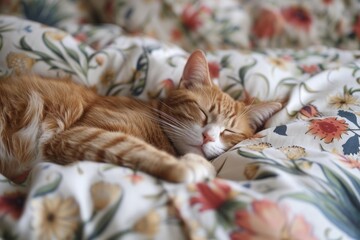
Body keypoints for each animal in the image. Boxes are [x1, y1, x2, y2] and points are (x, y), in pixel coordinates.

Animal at [0, 50, 282, 182]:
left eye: (228, 131)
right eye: (202, 113)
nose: (208, 138)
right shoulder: (77, 134)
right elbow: (139, 150)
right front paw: (188, 166)